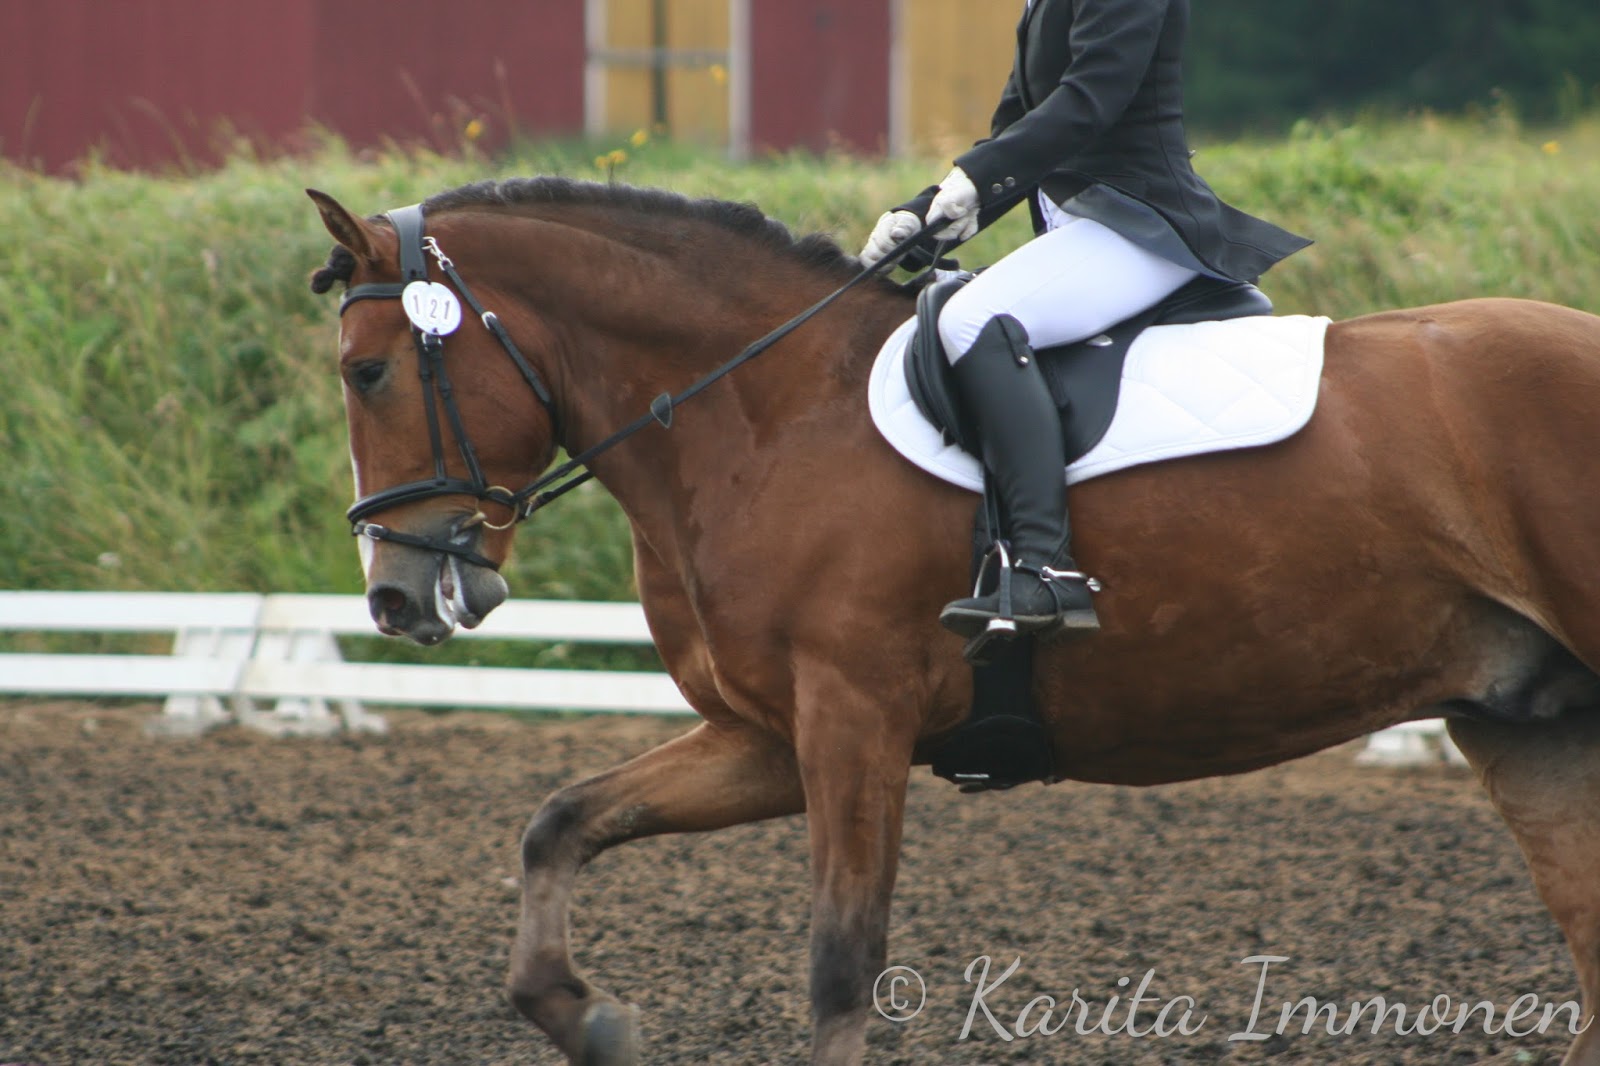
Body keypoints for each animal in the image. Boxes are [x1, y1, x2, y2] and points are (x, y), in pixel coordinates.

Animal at [307, 177, 1600, 1066]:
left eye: (367, 372)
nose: (394, 596)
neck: (765, 413)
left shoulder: (853, 721)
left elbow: (841, 963)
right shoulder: (767, 739)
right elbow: (558, 822)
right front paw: (595, 1024)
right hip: (1524, 716)